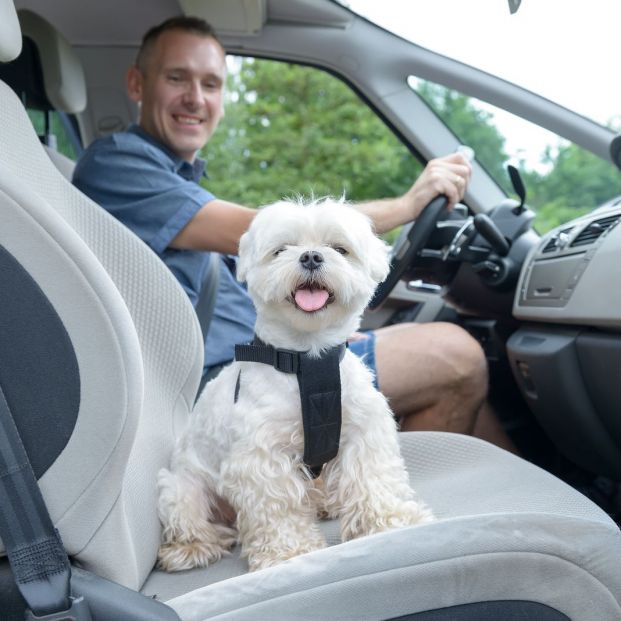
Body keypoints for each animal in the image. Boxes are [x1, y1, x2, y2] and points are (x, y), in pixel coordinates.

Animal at [157, 199, 434, 572]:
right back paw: (193, 546)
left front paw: (393, 522)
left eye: (339, 248)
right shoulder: (261, 456)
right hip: (181, 488)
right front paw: (289, 553)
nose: (311, 256)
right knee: (189, 517)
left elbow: (372, 480)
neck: (308, 359)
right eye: (281, 250)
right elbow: (278, 509)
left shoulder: (363, 432)